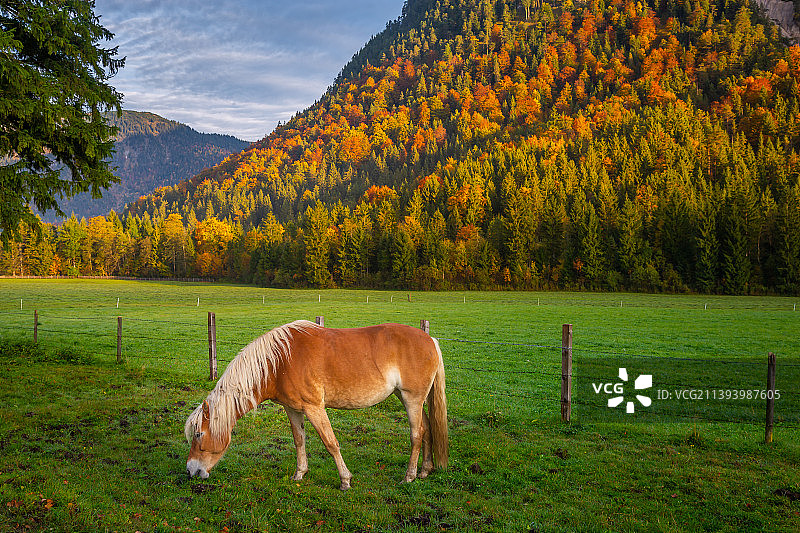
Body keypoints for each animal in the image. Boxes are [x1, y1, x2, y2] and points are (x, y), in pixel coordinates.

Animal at [188, 318, 450, 488]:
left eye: (199, 434)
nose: (191, 470)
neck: (279, 362)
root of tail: (430, 340)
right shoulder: (293, 409)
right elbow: (299, 440)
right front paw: (299, 474)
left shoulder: (314, 408)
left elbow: (330, 442)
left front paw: (345, 480)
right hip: (409, 398)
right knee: (427, 429)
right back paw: (424, 471)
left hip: (411, 399)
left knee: (417, 434)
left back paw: (409, 476)